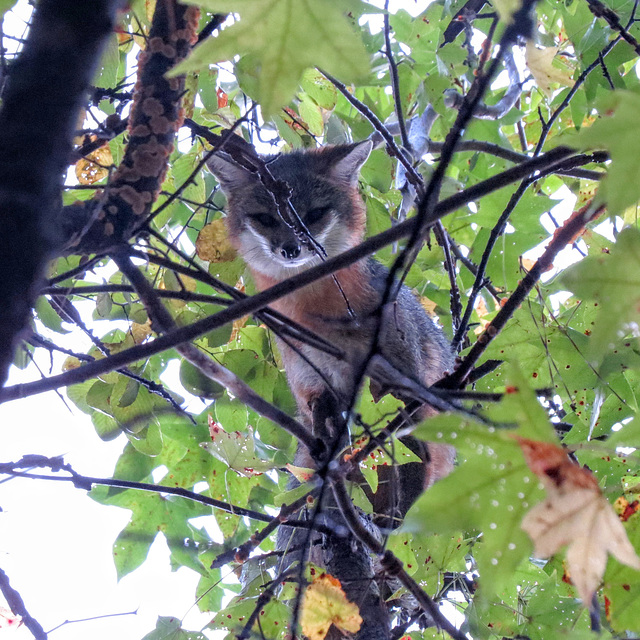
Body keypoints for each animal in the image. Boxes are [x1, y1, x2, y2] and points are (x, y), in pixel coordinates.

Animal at [209, 141, 456, 524]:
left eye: (314, 214)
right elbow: (321, 416)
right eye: (265, 218)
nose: (291, 249)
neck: (317, 315)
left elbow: (412, 459)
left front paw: (395, 521)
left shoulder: (403, 387)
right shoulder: (311, 383)